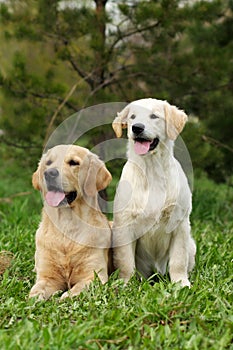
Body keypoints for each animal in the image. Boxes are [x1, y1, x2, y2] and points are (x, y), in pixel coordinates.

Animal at [29, 144, 112, 300]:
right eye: (48, 163)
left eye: (73, 162)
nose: (49, 173)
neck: (67, 225)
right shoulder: (47, 276)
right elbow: (37, 290)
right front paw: (34, 299)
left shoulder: (94, 276)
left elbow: (78, 289)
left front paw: (66, 297)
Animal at [112, 98, 196, 288]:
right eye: (132, 117)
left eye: (154, 116)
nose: (137, 128)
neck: (151, 170)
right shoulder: (124, 225)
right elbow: (126, 261)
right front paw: (125, 284)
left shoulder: (179, 224)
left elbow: (178, 259)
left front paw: (181, 283)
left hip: (191, 244)